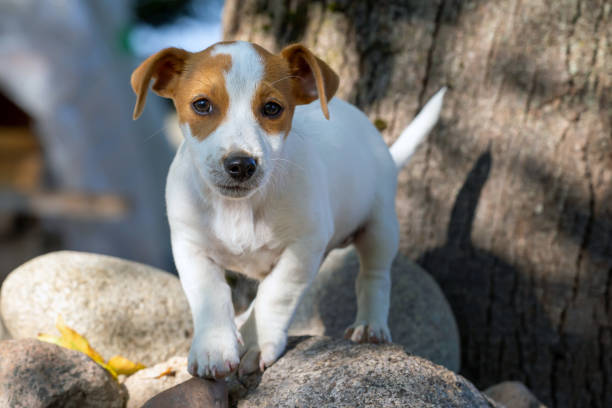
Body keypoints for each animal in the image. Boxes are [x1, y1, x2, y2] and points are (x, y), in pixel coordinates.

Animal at [130, 40, 444, 380]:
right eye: (202, 105)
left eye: (271, 108)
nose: (241, 165)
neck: (240, 208)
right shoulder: (190, 246)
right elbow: (210, 295)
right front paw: (214, 347)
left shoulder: (302, 248)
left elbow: (276, 293)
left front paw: (256, 344)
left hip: (380, 227)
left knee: (374, 276)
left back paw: (370, 326)